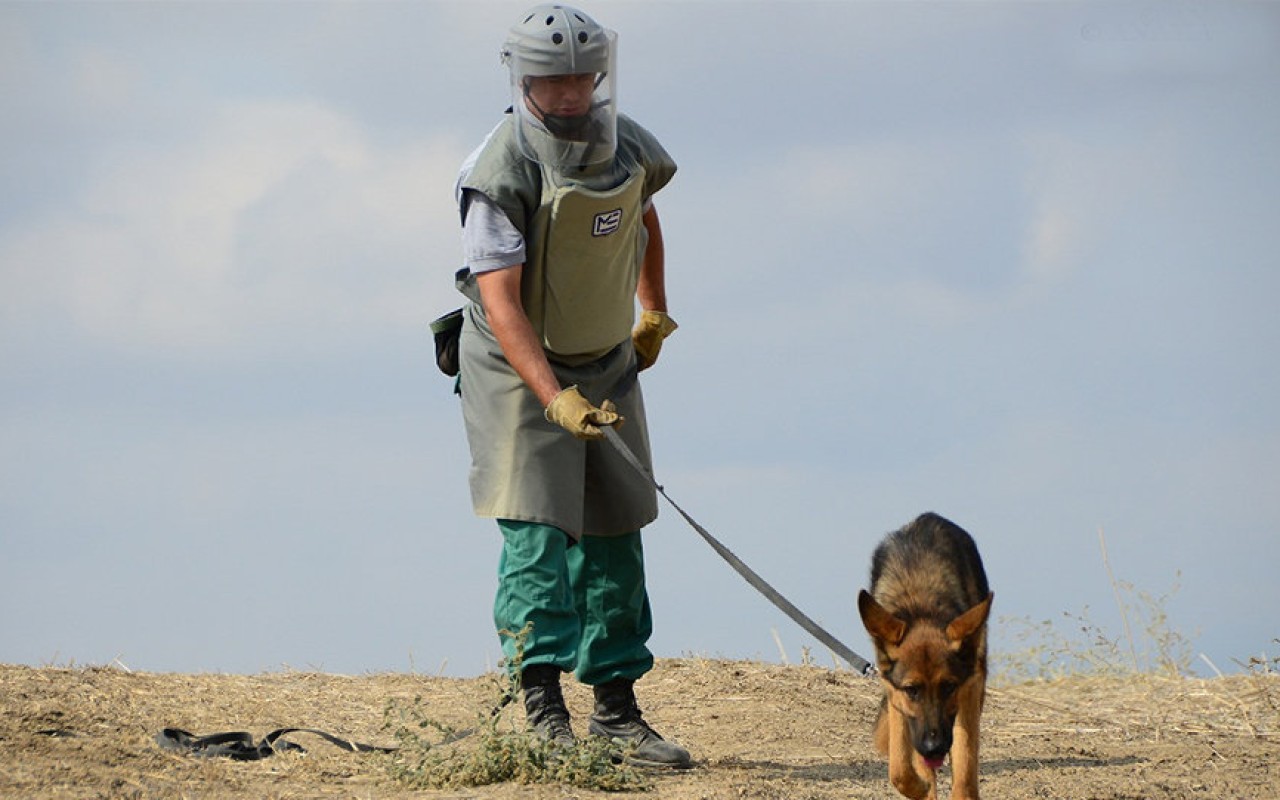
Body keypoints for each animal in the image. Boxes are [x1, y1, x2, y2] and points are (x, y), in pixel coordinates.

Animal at [855, 514, 993, 793]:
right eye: (912, 690)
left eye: (949, 687)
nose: (934, 748)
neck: (921, 606)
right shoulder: (897, 697)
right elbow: (900, 769)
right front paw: (921, 786)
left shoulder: (969, 688)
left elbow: (964, 772)